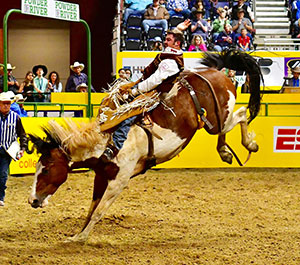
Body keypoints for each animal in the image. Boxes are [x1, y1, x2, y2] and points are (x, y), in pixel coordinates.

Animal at [27, 49, 262, 241]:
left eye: (46, 170)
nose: (32, 201)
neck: (107, 142)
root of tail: (217, 72)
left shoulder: (120, 180)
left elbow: (100, 210)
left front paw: (81, 238)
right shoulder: (101, 177)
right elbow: (92, 209)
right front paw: (77, 234)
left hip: (221, 117)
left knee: (241, 114)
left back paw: (250, 144)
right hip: (216, 121)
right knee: (225, 129)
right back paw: (225, 152)